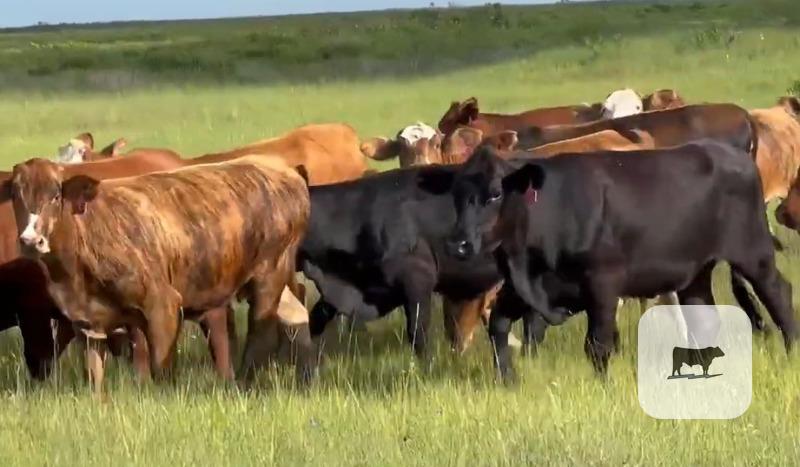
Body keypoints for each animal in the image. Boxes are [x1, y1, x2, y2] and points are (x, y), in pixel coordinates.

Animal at [7, 156, 311, 392]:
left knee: (261, 333)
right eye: (16, 196)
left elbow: (161, 368)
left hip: (269, 275)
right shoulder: (88, 323)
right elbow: (95, 379)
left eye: (56, 195)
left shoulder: (162, 304)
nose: (31, 240)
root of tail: (285, 169)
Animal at [443, 145, 797, 380]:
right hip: (695, 271)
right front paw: (508, 381)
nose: (458, 244)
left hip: (753, 251)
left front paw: (603, 387)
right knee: (704, 318)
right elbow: (498, 326)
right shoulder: (522, 288)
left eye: (494, 194)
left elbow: (598, 344)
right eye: (456, 196)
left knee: (778, 292)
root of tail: (731, 152)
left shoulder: (602, 282)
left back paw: (792, 349)